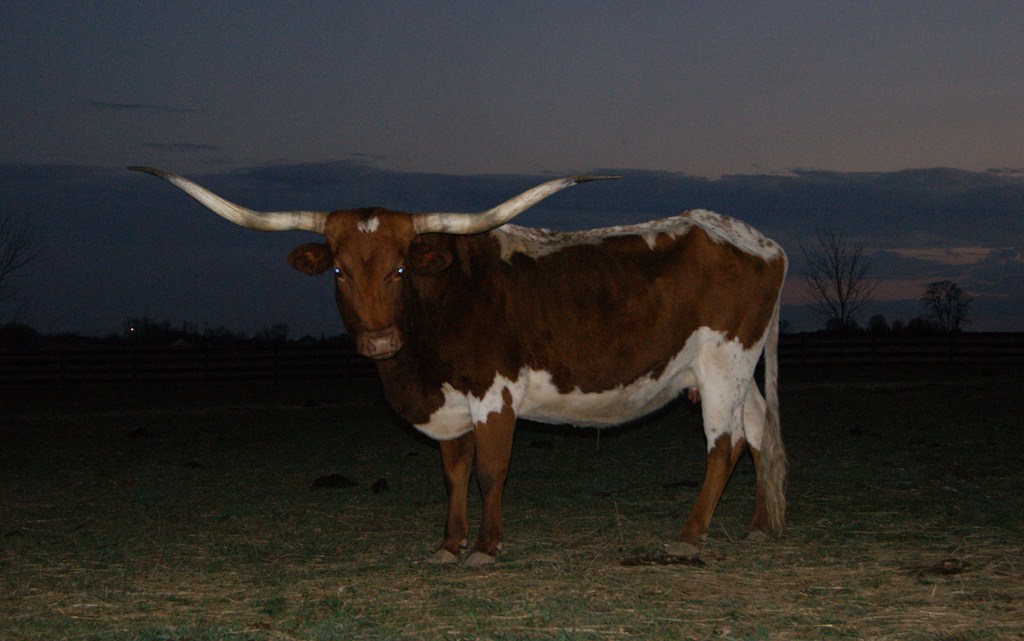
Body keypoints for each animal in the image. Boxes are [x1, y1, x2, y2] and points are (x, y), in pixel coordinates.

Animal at [130, 166, 787, 566]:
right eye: (339, 270)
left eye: (399, 267)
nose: (378, 342)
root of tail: (761, 242)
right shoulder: (447, 405)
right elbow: (453, 471)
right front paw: (449, 542)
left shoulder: (495, 392)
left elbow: (490, 470)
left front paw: (486, 548)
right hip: (732, 369)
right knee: (759, 431)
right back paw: (760, 525)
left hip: (722, 364)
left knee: (725, 444)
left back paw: (688, 538)